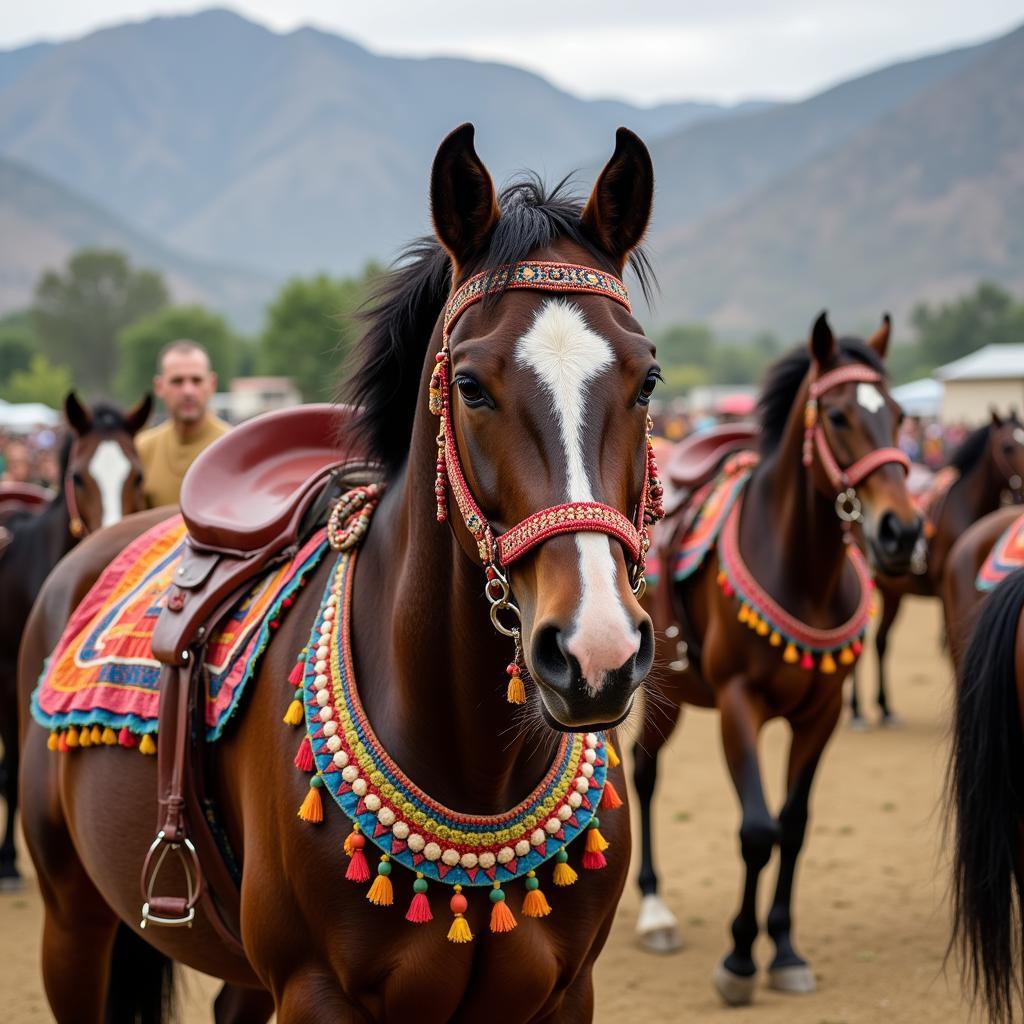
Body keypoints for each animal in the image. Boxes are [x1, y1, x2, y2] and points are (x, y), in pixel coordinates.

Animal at [18, 128, 663, 1024]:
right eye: (470, 387)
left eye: (648, 380)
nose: (596, 652)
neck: (475, 771)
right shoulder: (317, 993)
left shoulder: (566, 994)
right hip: (72, 923)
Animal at [630, 315, 921, 1003]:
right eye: (837, 416)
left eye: (899, 414)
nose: (901, 532)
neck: (801, 574)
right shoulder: (741, 703)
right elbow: (757, 830)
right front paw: (739, 958)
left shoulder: (822, 714)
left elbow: (793, 827)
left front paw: (784, 950)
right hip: (658, 694)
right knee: (644, 774)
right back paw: (653, 911)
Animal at [847, 409, 1024, 729]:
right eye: (1007, 447)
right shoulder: (946, 590)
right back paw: (855, 710)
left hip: (893, 593)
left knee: (880, 642)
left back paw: (885, 706)